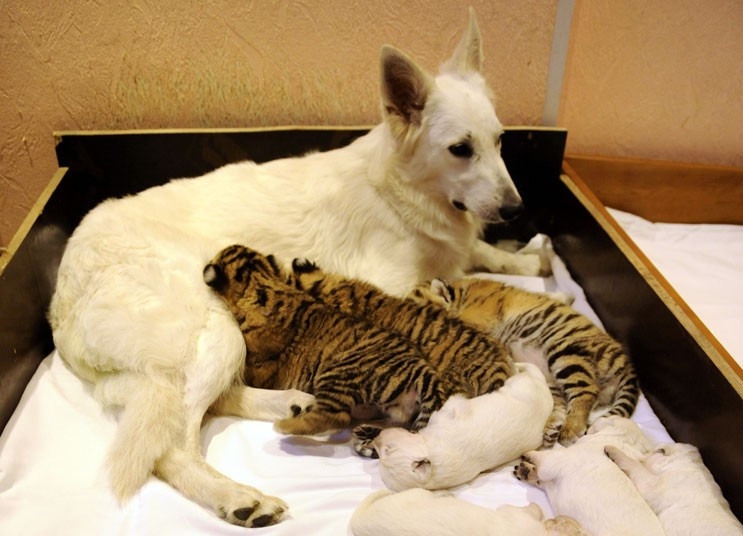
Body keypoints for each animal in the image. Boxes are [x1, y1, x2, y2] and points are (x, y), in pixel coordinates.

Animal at [408, 277, 640, 446]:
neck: (461, 292)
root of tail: (627, 364)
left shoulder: (476, 319)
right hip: (550, 380)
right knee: (562, 403)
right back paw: (551, 429)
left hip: (564, 350)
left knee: (586, 391)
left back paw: (570, 430)